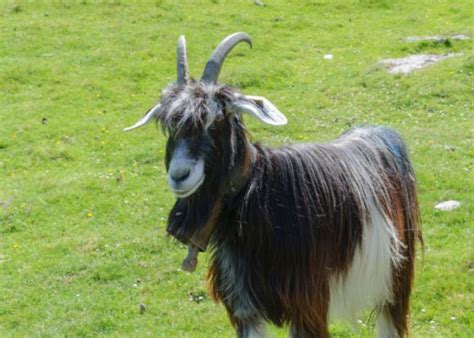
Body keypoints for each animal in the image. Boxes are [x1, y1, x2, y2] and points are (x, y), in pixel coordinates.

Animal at [124, 32, 420, 338]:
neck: (257, 197)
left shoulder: (307, 306)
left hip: (395, 277)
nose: (180, 175)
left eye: (216, 118)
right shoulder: (244, 306)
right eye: (168, 124)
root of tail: (379, 133)